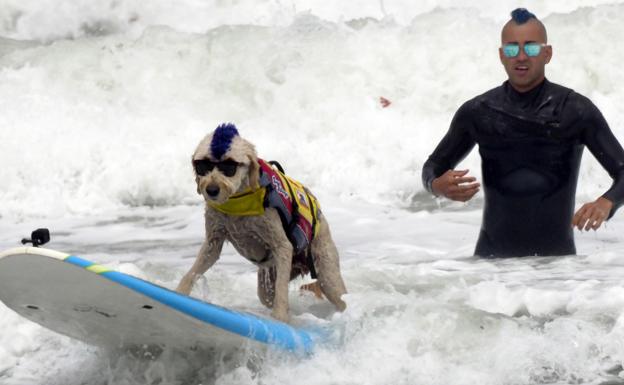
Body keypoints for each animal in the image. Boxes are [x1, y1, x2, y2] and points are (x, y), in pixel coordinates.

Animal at [177, 123, 346, 320]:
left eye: (229, 165)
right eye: (203, 165)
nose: (212, 190)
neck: (238, 200)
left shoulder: (281, 244)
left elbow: (281, 286)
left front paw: (280, 317)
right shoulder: (214, 239)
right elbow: (194, 270)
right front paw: (180, 292)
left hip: (326, 270)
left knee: (338, 294)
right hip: (269, 279)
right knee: (266, 295)